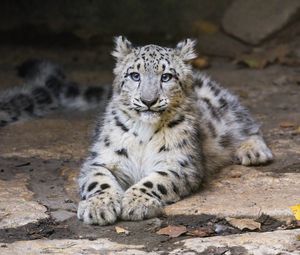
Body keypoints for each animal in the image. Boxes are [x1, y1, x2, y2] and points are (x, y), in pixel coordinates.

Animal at [0, 36, 274, 225]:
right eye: (134, 75)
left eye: (166, 76)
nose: (148, 100)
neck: (145, 133)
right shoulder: (102, 160)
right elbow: (98, 180)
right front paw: (98, 208)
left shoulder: (180, 163)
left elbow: (157, 180)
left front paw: (135, 202)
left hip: (223, 105)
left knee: (247, 122)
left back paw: (253, 151)